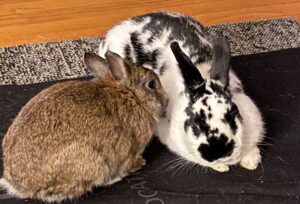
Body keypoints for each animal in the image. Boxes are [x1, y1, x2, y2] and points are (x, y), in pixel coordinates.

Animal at [0, 50, 165, 202]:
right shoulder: (131, 149)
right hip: (93, 161)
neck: (131, 96)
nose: (165, 99)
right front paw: (140, 163)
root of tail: (19, 187)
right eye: (152, 84)